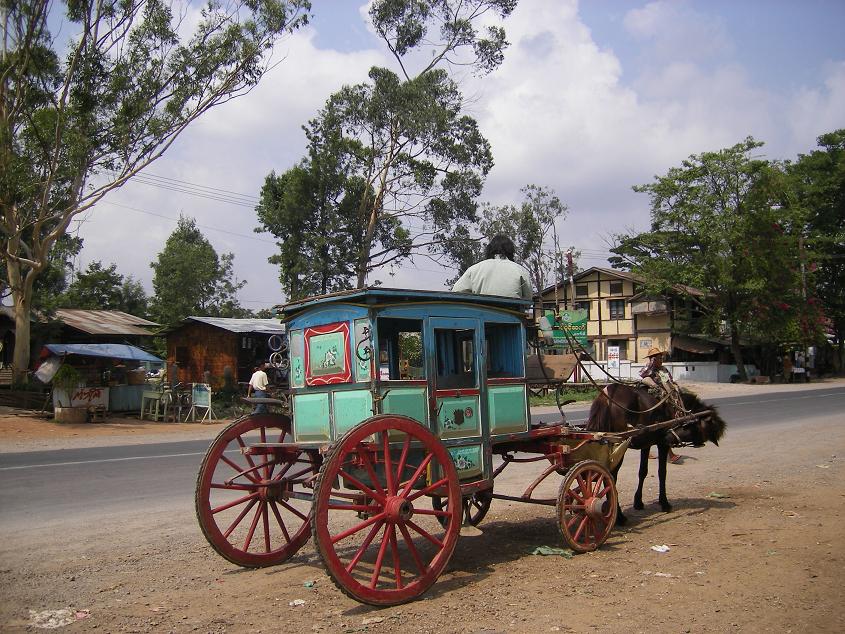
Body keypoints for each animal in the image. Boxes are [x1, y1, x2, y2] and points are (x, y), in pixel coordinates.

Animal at [588, 380, 724, 524]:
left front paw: (638, 502)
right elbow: (662, 472)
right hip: (617, 444)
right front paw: (664, 503)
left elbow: (643, 471)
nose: (668, 436)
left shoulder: (646, 443)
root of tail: (607, 395)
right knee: (611, 476)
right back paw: (619, 516)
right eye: (693, 424)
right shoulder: (662, 443)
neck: (675, 406)